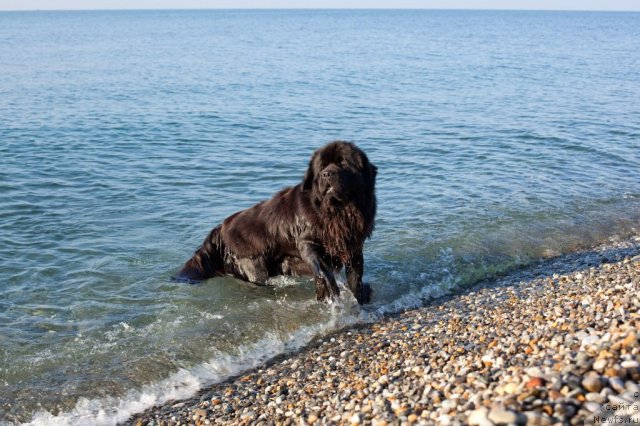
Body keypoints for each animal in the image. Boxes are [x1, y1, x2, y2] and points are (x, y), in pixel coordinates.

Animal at [172, 141, 378, 304]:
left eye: (343, 163)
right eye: (322, 167)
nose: (327, 174)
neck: (338, 211)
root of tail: (220, 228)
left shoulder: (353, 245)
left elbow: (355, 275)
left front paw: (358, 298)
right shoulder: (307, 242)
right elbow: (323, 270)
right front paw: (331, 292)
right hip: (252, 263)